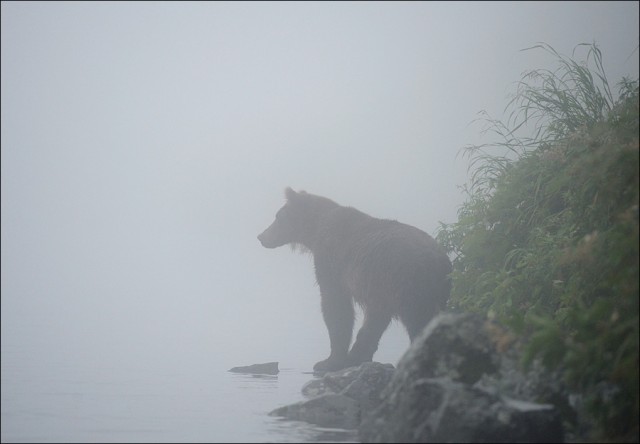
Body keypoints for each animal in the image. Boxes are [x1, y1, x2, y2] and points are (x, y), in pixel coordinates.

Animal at [258, 187, 452, 372]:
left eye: (277, 216)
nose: (261, 236)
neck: (315, 230)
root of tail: (439, 259)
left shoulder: (333, 262)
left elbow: (335, 307)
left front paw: (328, 361)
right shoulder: (379, 288)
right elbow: (375, 319)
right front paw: (356, 356)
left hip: (410, 283)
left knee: (418, 319)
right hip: (437, 287)